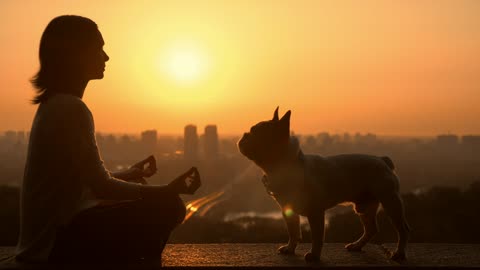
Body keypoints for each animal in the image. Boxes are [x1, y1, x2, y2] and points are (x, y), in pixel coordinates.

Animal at [238, 107, 410, 262]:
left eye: (257, 133)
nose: (244, 135)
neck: (286, 166)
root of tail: (383, 160)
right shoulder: (288, 210)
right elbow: (293, 231)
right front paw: (290, 248)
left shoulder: (316, 213)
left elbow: (317, 236)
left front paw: (314, 255)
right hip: (365, 206)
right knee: (371, 229)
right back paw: (357, 246)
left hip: (390, 201)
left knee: (402, 229)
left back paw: (399, 253)